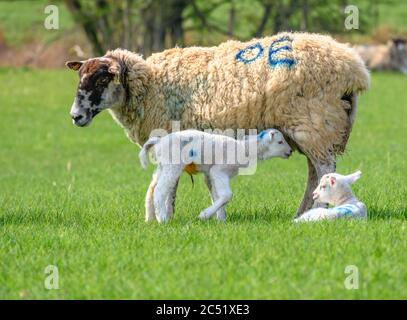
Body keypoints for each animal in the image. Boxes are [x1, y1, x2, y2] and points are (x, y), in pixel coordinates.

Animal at [140, 128, 294, 222]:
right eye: (280, 142)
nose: (290, 151)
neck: (244, 149)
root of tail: (158, 142)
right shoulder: (219, 170)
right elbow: (226, 195)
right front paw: (204, 215)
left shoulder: (212, 174)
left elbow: (216, 196)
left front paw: (221, 220)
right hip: (172, 165)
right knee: (159, 190)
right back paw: (163, 219)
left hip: (162, 166)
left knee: (151, 189)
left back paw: (150, 219)